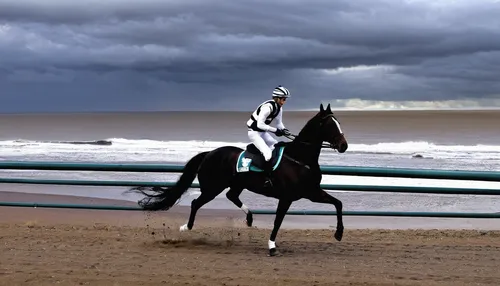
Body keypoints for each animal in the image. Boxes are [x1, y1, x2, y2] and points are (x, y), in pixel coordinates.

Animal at [129, 103, 348, 256]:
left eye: (338, 122)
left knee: (231, 196)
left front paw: (338, 234)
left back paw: (249, 218)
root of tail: (209, 153)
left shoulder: (311, 192)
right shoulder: (286, 198)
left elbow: (338, 203)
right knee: (196, 202)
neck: (300, 159)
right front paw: (272, 247)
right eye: (330, 124)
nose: (344, 145)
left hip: (236, 184)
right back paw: (186, 227)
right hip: (213, 187)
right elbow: (277, 221)